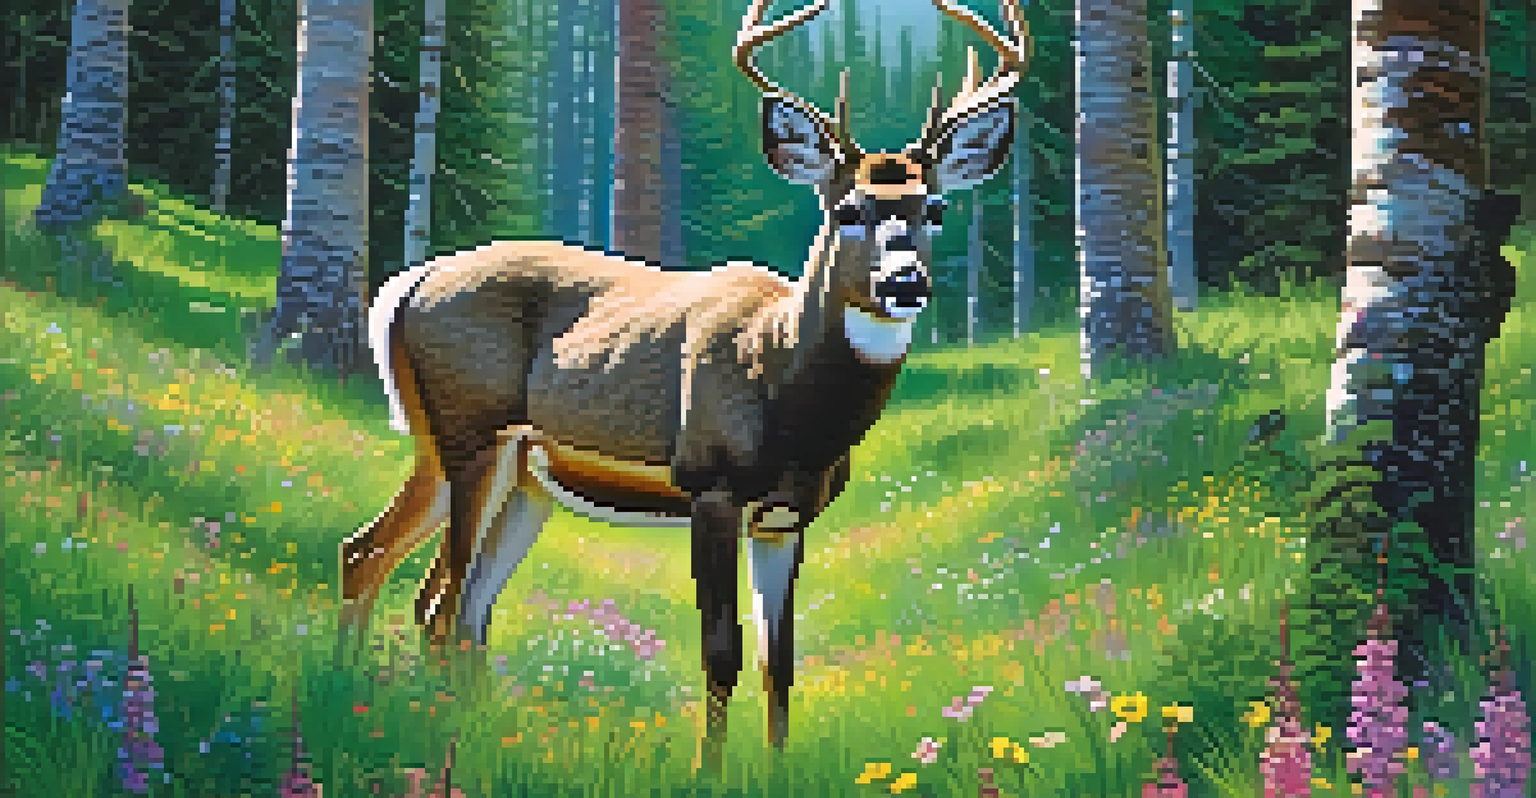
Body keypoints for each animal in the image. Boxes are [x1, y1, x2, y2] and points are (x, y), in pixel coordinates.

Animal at [340, 0, 1028, 754]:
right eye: (847, 210)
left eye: (935, 208)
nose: (905, 283)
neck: (784, 393)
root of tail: (412, 282)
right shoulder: (710, 485)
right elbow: (722, 653)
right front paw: (708, 768)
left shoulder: (784, 518)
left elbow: (781, 663)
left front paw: (776, 766)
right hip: (471, 436)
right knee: (435, 601)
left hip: (512, 476)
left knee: (412, 579)